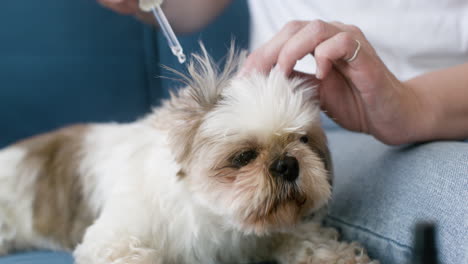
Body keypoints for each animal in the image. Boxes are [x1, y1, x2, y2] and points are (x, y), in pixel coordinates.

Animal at [0, 46, 376, 264]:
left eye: (303, 140)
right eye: (243, 157)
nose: (287, 164)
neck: (213, 215)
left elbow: (306, 238)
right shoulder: (116, 239)